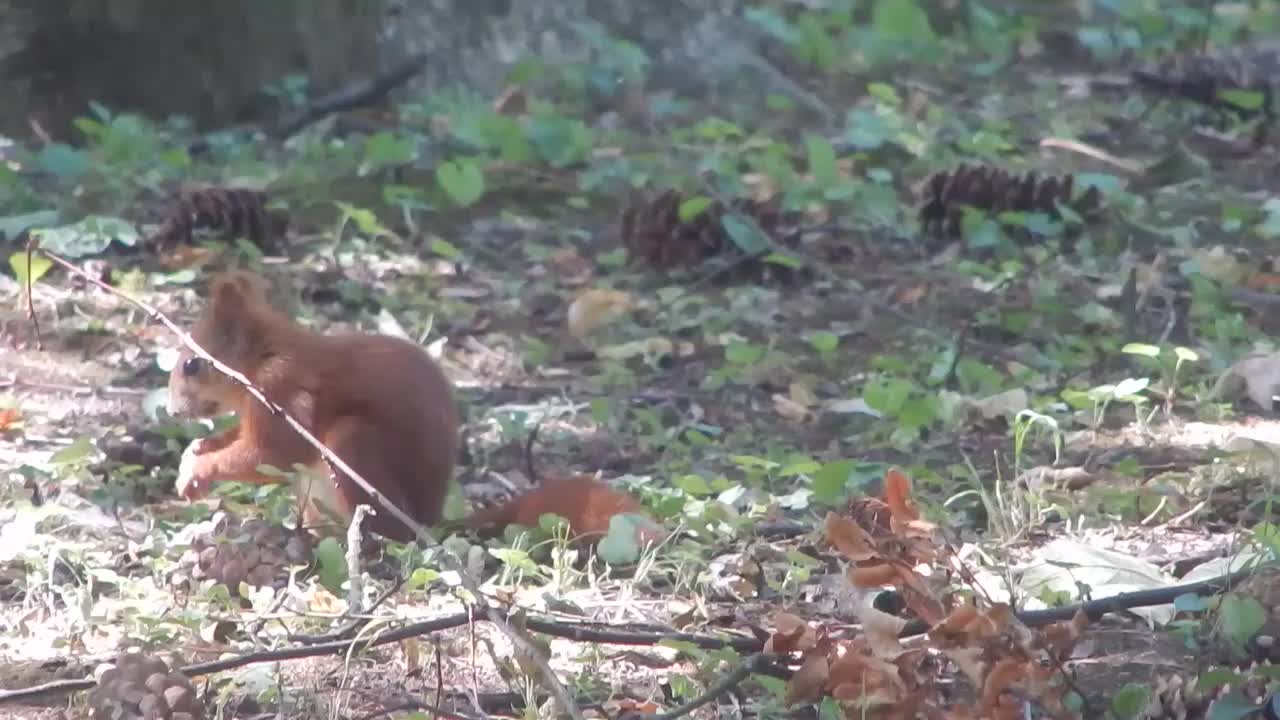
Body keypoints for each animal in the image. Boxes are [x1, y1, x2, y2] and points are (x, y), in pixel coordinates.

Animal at [167, 269, 460, 538]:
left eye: (191, 365)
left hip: (352, 445)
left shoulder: (281, 389)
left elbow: (273, 454)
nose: (172, 411)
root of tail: (430, 521)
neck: (262, 356)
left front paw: (199, 470)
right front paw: (196, 449)